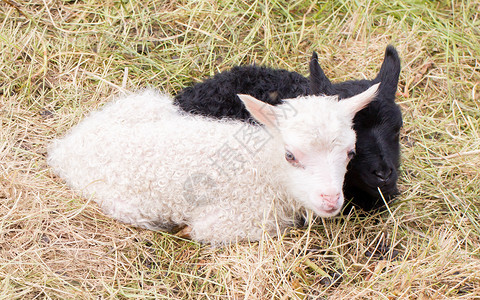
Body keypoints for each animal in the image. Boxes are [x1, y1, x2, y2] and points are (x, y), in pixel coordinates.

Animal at [47, 84, 378, 244]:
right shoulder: (230, 223)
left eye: (350, 152)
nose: (330, 200)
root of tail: (66, 147)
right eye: (290, 155)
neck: (262, 169)